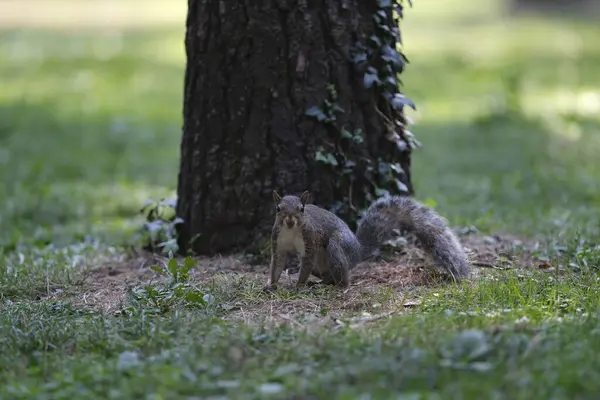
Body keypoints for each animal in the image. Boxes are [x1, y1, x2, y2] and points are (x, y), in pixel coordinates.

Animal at [264, 190, 472, 290]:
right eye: (278, 209)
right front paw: (271, 285)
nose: (290, 221)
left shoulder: (310, 239)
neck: (291, 231)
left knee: (343, 276)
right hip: (322, 265)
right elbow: (277, 265)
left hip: (336, 246)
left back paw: (332, 285)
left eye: (301, 209)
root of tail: (358, 250)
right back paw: (322, 282)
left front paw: (298, 286)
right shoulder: (277, 243)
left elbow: (306, 263)